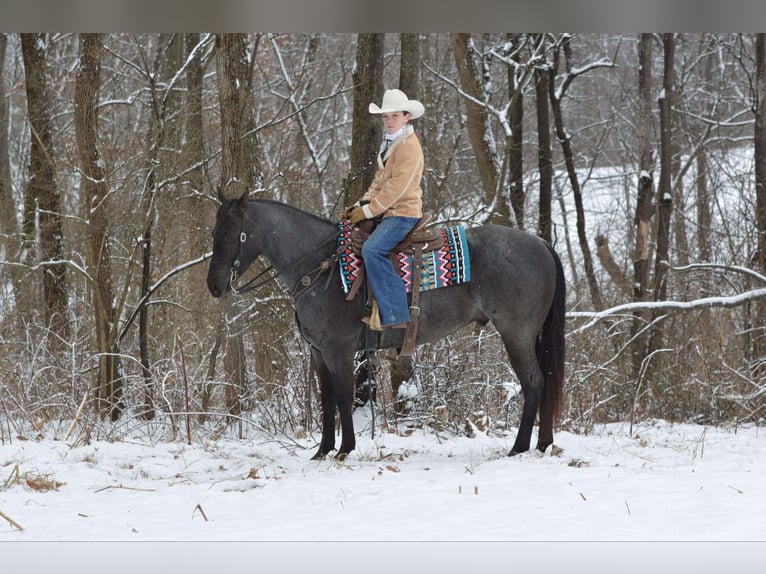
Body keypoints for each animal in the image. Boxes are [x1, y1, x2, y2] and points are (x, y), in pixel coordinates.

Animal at [207, 194, 568, 464]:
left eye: (229, 234)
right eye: (215, 232)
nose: (214, 285)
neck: (322, 267)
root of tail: (541, 244)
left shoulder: (339, 352)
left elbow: (343, 396)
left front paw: (344, 449)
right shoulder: (318, 354)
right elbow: (326, 400)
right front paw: (322, 451)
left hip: (516, 334)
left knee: (534, 382)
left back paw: (519, 447)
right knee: (545, 381)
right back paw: (542, 444)